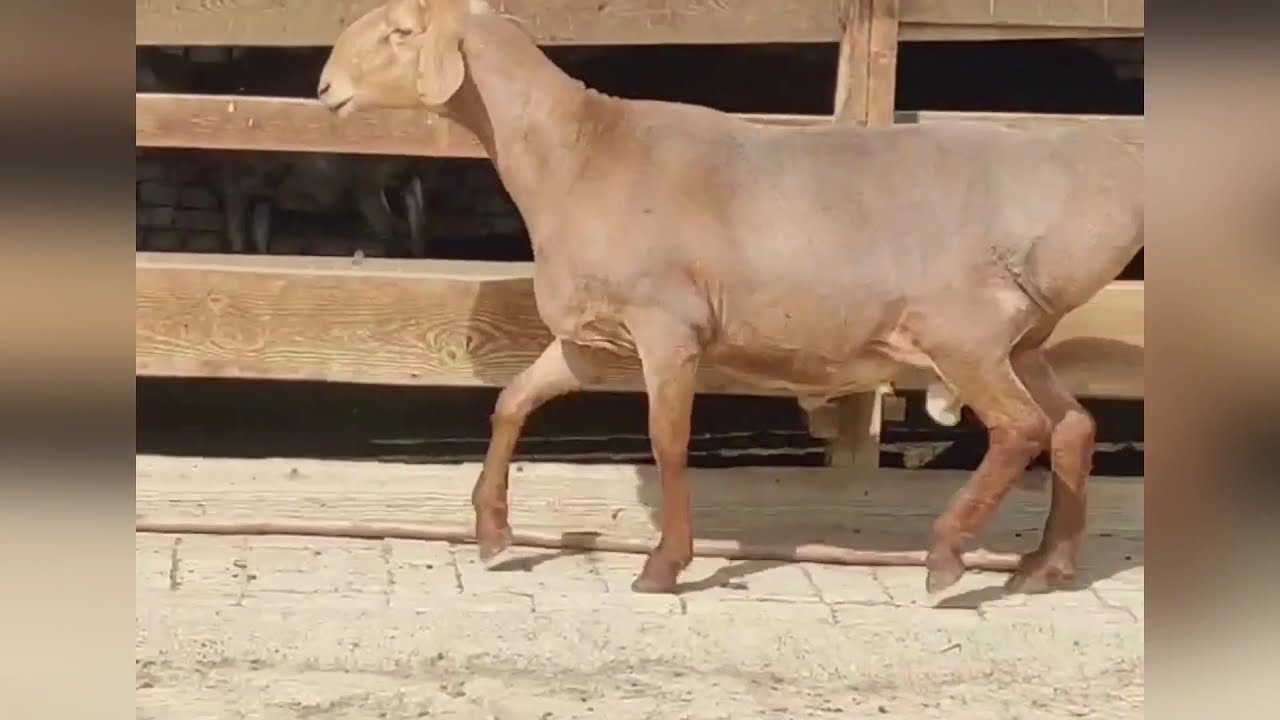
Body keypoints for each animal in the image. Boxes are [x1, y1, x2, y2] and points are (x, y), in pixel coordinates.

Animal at [317, 0, 1143, 596]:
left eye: (398, 33)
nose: (325, 89)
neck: (577, 153)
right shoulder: (592, 341)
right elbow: (512, 402)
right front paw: (492, 533)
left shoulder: (667, 327)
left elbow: (667, 442)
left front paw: (663, 565)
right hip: (1018, 341)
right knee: (1071, 428)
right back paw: (1044, 566)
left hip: (962, 333)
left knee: (1021, 428)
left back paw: (947, 555)